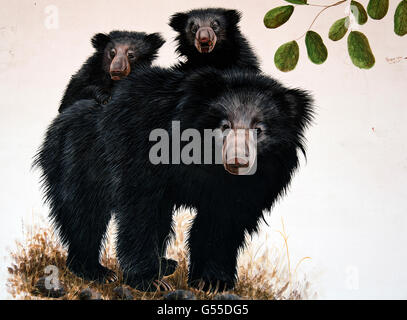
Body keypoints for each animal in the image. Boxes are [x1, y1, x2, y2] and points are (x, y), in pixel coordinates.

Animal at [36, 67, 314, 290]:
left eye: (259, 129)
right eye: (224, 126)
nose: (238, 161)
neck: (206, 161)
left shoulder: (249, 186)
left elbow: (222, 223)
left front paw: (212, 281)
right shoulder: (143, 150)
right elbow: (141, 211)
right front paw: (149, 281)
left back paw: (165, 264)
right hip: (78, 159)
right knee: (84, 213)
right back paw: (95, 271)